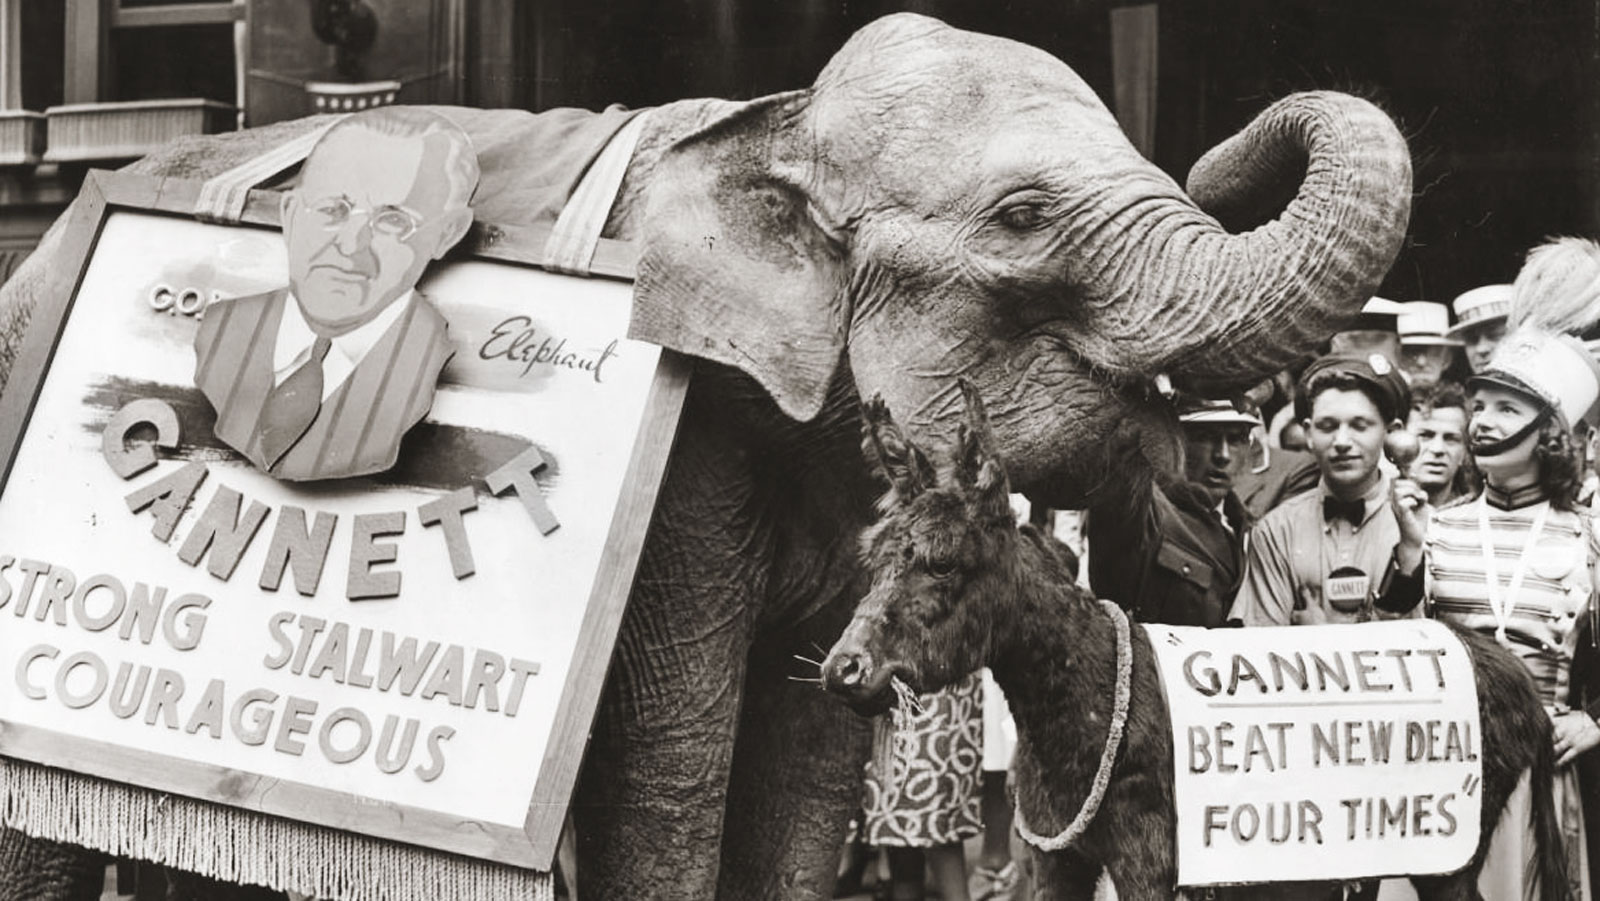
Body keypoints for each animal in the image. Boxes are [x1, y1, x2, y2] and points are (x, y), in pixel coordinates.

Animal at [0, 10, 1408, 896]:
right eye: (1020, 217)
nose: (1224, 154)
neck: (771, 123)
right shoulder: (679, 428)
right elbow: (681, 736)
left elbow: (811, 736)